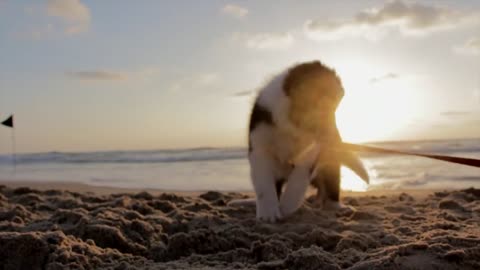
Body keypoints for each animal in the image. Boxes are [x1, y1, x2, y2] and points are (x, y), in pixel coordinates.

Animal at [248, 60, 368, 221]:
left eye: (335, 109)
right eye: (321, 105)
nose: (335, 138)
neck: (291, 126)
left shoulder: (311, 151)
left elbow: (298, 179)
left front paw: (288, 205)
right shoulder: (259, 147)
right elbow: (263, 183)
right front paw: (268, 213)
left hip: (330, 164)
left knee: (331, 185)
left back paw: (337, 207)